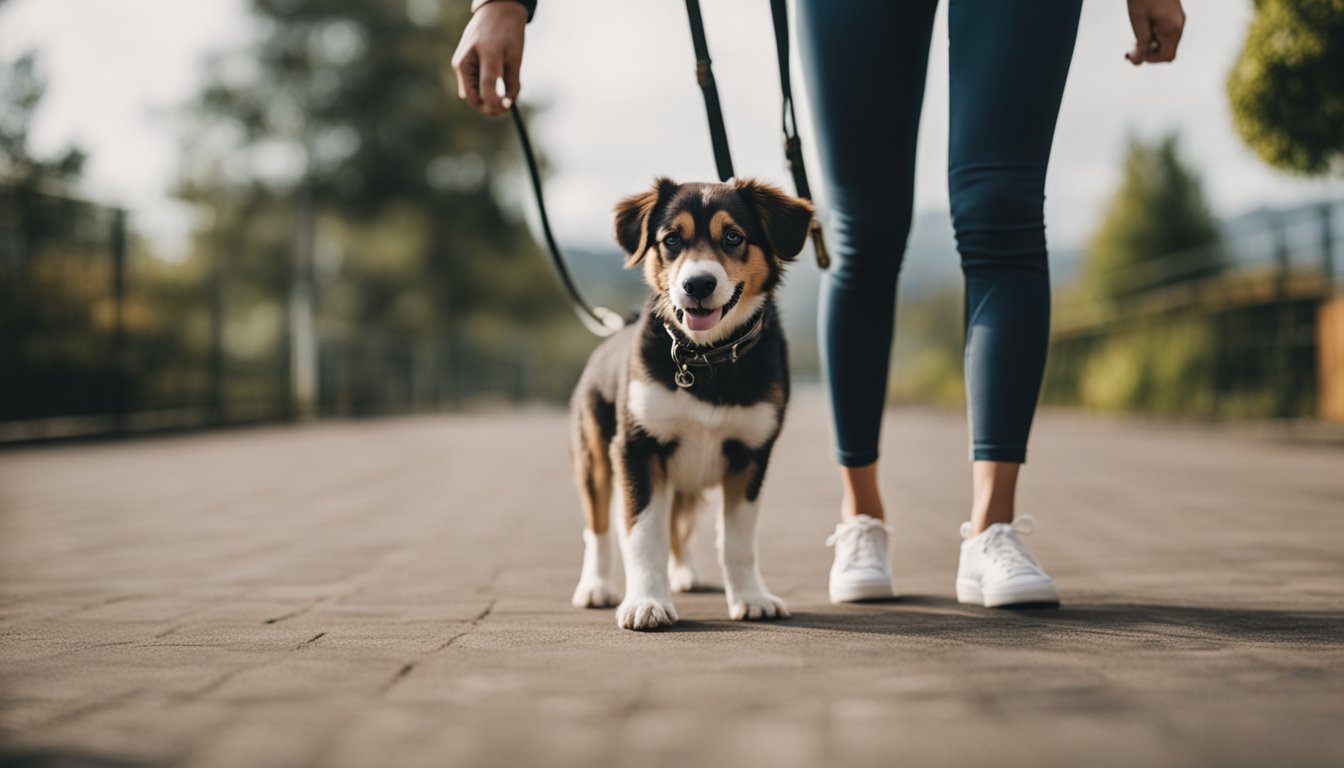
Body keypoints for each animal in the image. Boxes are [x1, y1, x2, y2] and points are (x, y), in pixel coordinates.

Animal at [564, 178, 806, 632]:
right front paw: (645, 602)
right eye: (671, 240)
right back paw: (596, 586)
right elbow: (643, 535)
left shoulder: (751, 454)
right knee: (599, 527)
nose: (697, 284)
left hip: (685, 478)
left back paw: (685, 574)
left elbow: (738, 540)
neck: (708, 359)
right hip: (595, 459)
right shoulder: (637, 449)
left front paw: (751, 598)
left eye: (734, 237)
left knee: (678, 525)